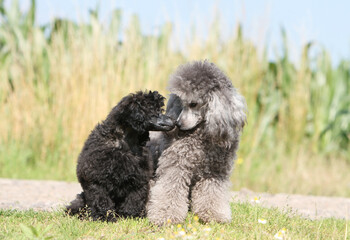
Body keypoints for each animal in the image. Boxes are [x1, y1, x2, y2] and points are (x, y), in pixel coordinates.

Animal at [65, 91, 174, 221]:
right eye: (153, 110)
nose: (172, 121)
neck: (124, 141)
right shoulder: (96, 180)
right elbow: (101, 199)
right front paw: (104, 216)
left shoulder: (138, 179)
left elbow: (134, 199)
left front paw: (130, 215)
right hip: (82, 199)